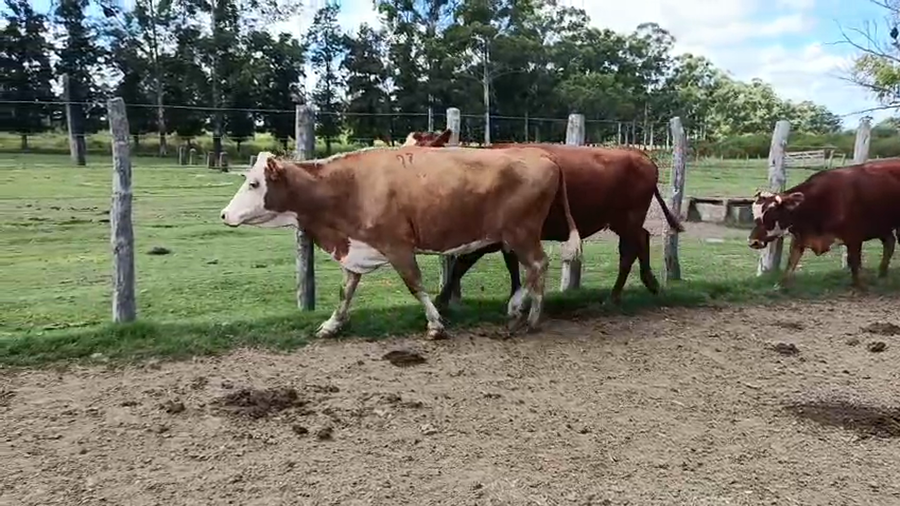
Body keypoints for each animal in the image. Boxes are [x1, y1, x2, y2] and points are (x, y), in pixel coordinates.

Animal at [219, 146, 582, 340]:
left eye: (254, 183)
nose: (224, 214)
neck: (351, 187)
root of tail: (541, 154)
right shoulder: (355, 248)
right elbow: (345, 292)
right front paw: (332, 324)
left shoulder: (397, 245)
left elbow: (415, 284)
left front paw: (435, 324)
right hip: (516, 236)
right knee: (534, 268)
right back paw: (521, 311)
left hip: (521, 233)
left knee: (538, 265)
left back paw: (527, 316)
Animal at [403, 129, 685, 311]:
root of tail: (639, 154)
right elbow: (511, 264)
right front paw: (515, 294)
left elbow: (461, 264)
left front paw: (441, 301)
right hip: (623, 221)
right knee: (642, 240)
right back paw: (650, 284)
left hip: (627, 218)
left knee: (630, 249)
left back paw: (616, 296)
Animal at [748, 158, 900, 288]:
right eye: (755, 215)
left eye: (771, 214)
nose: (753, 242)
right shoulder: (800, 237)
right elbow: (791, 263)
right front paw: (780, 285)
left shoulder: (854, 238)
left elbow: (854, 263)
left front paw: (860, 285)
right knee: (889, 243)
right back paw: (882, 275)